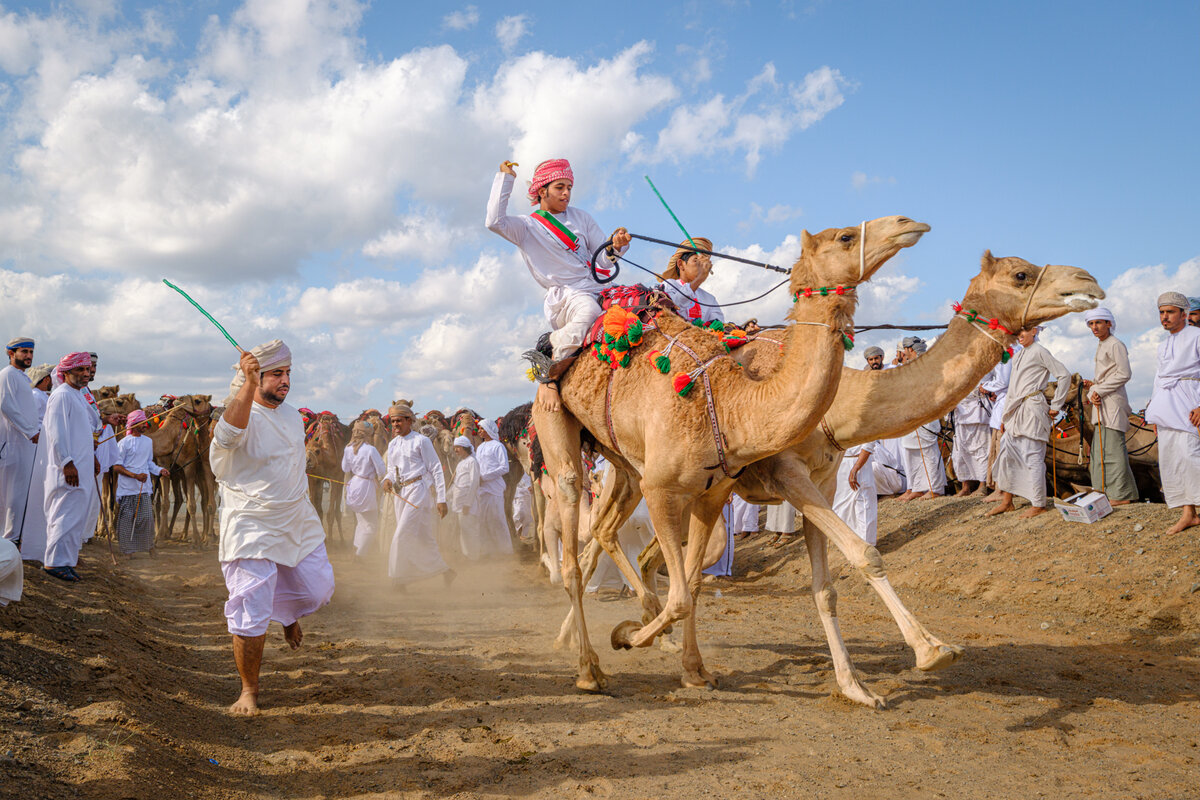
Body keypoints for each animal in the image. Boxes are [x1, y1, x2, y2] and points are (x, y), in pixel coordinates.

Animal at [535, 214, 926, 695]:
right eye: (846, 237)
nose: (908, 223)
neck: (730, 402)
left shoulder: (712, 493)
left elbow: (691, 587)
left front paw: (693, 668)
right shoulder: (664, 489)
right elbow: (681, 595)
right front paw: (627, 637)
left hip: (623, 464)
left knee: (604, 530)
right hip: (555, 423)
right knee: (572, 528)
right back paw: (589, 668)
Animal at [592, 250, 1104, 705]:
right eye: (1021, 274)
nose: (1090, 281)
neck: (837, 406)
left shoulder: (826, 478)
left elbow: (825, 588)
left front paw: (855, 687)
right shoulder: (786, 472)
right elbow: (864, 553)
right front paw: (932, 650)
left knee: (660, 556)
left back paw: (659, 638)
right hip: (644, 476)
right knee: (618, 537)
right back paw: (630, 633)